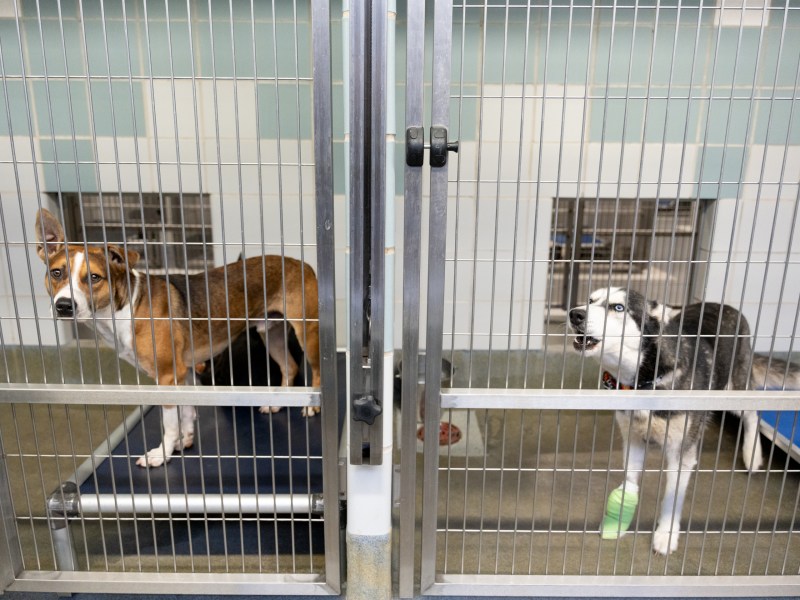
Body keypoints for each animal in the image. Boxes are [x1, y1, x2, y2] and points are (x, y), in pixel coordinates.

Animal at [34, 209, 322, 466]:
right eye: (56, 273)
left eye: (94, 278)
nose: (64, 306)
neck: (128, 306)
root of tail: (301, 263)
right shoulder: (185, 372)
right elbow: (187, 413)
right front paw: (185, 440)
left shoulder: (168, 376)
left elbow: (170, 422)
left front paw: (162, 454)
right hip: (270, 333)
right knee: (290, 366)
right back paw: (278, 402)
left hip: (307, 333)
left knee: (316, 370)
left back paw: (312, 407)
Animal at [568, 288, 800, 556]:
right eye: (590, 300)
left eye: (618, 307)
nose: (574, 313)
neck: (646, 379)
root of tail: (726, 306)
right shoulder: (632, 439)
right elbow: (630, 481)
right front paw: (619, 518)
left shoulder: (682, 454)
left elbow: (672, 498)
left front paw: (665, 535)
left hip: (734, 389)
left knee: (754, 414)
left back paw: (752, 455)